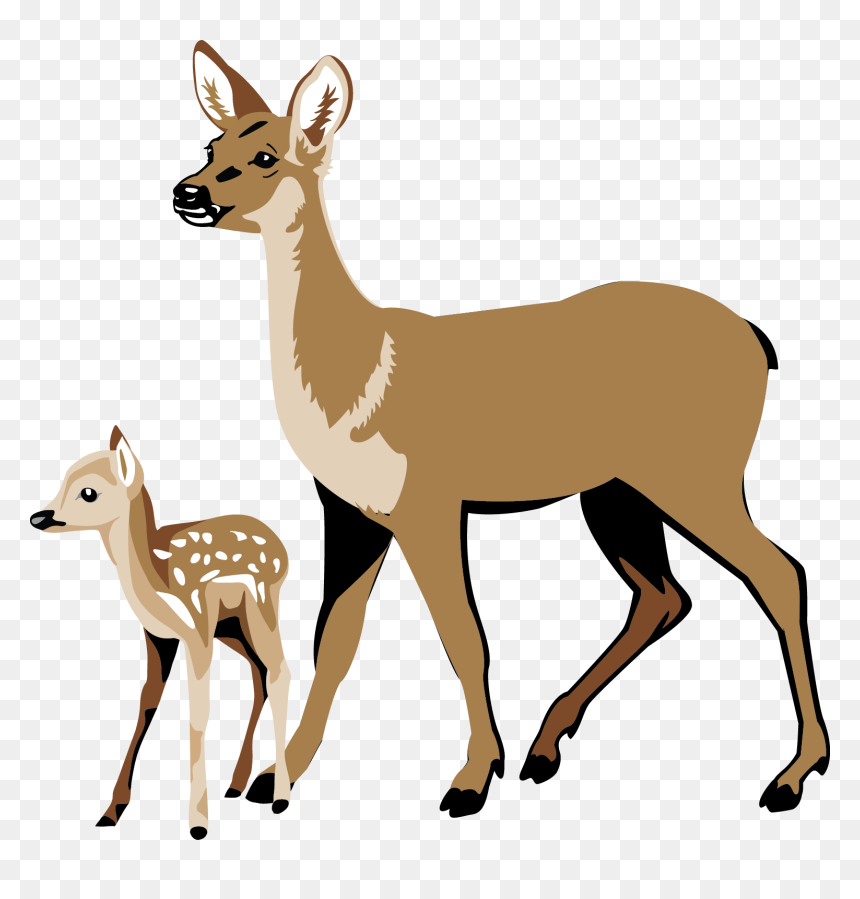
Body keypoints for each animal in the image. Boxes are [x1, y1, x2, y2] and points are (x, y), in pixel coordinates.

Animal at [30, 426, 292, 839]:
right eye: (63, 480)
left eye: (88, 492)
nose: (39, 516)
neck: (157, 577)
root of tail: (283, 551)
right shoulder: (159, 636)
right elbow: (146, 703)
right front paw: (111, 812)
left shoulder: (197, 625)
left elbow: (198, 713)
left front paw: (198, 825)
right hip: (232, 628)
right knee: (260, 672)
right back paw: (236, 785)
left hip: (261, 605)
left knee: (280, 670)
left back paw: (279, 799)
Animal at [172, 41, 830, 818]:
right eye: (211, 145)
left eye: (267, 155)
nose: (188, 192)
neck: (357, 379)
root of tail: (760, 341)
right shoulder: (351, 510)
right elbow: (333, 640)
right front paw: (279, 779)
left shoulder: (429, 501)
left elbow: (465, 635)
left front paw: (469, 779)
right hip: (616, 489)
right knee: (665, 593)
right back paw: (545, 748)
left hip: (695, 471)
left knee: (778, 572)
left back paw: (794, 773)